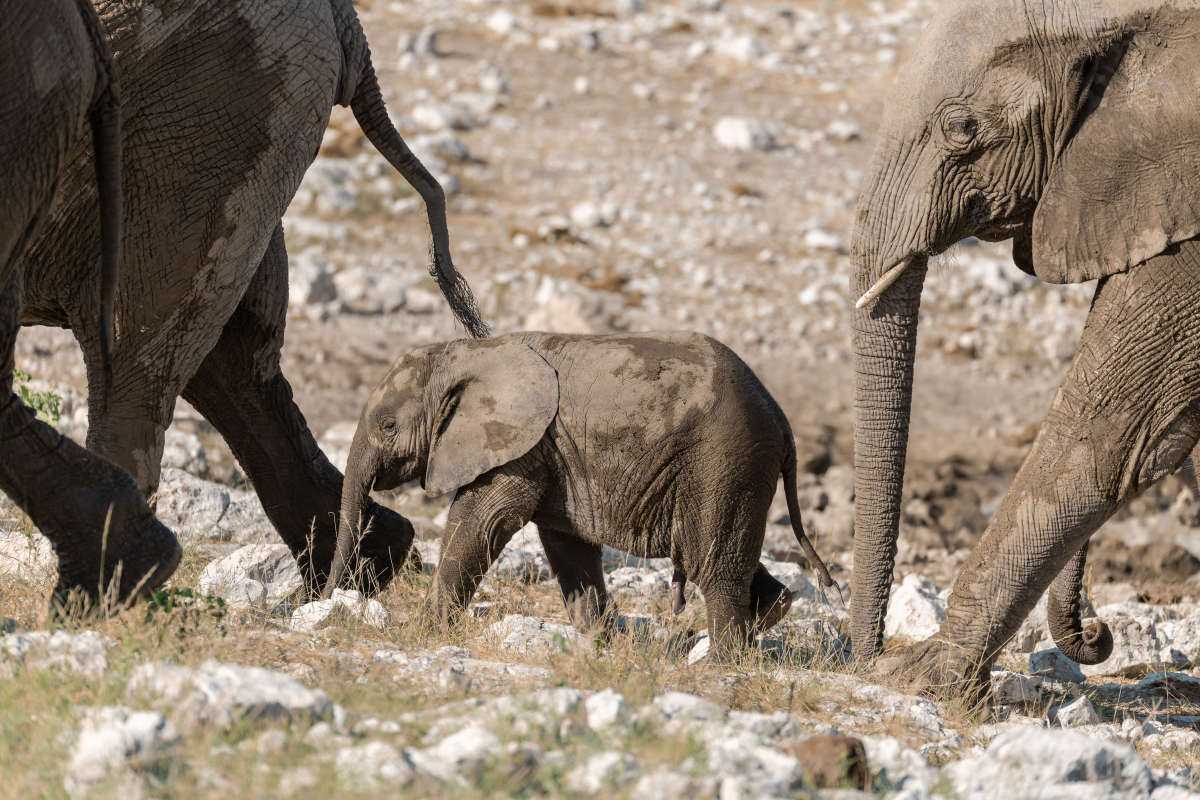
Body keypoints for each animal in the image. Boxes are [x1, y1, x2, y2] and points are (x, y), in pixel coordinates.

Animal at [23, 0, 488, 605]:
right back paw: (357, 574)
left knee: (135, 353)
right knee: (235, 362)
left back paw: (105, 589)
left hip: (203, 125)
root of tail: (346, 20)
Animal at [326, 332, 835, 652]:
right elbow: (566, 542)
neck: (467, 353)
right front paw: (601, 645)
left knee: (711, 562)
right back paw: (768, 615)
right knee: (714, 553)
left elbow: (482, 518)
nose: (326, 599)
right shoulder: (554, 454)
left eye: (388, 426)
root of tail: (782, 420)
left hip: (724, 462)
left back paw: (721, 663)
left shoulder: (520, 444)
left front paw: (421, 633)